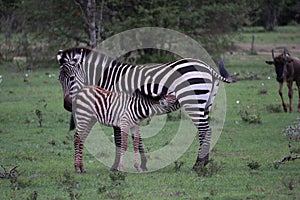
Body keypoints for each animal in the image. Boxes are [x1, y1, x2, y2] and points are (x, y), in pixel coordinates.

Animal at [57, 46, 233, 169]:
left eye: (71, 78)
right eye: (59, 79)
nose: (67, 106)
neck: (110, 78)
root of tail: (207, 67)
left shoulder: (116, 109)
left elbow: (119, 140)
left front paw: (115, 166)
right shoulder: (129, 111)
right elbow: (137, 138)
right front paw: (143, 163)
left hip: (193, 101)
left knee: (204, 130)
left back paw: (198, 165)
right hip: (206, 103)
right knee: (207, 130)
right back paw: (203, 162)